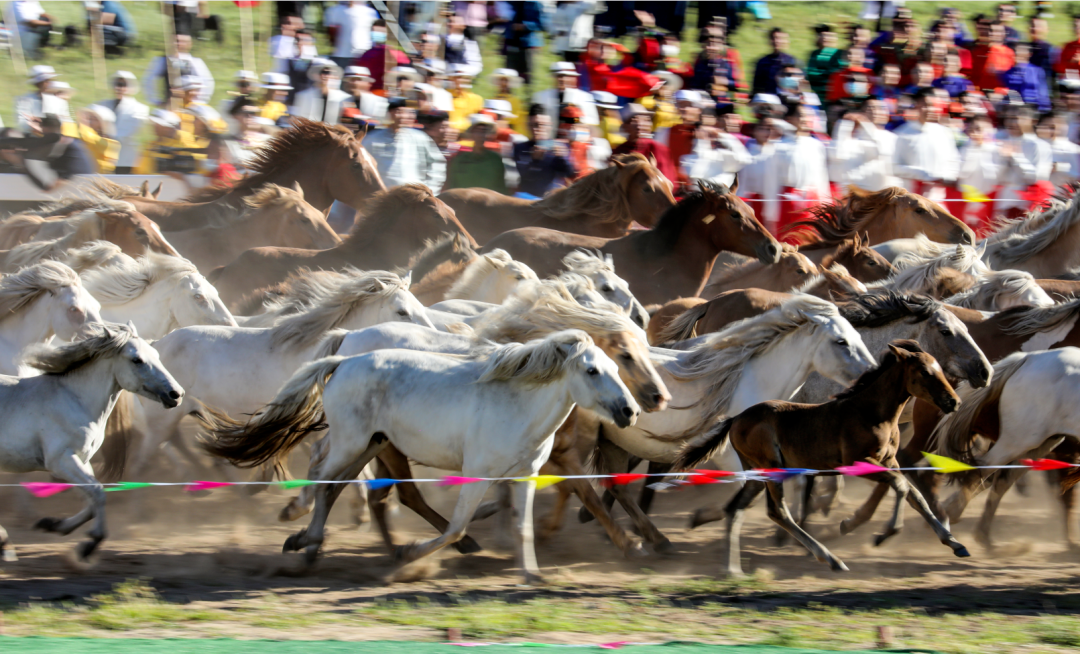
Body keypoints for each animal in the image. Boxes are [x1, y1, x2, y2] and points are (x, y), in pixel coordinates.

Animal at [0, 322, 183, 562]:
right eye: (137, 360)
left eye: (156, 355)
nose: (176, 394)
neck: (73, 399)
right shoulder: (61, 461)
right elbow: (97, 493)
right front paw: (90, 544)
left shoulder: (81, 459)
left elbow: (91, 500)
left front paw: (54, 525)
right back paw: (6, 546)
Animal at [127, 271, 432, 477]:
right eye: (402, 311)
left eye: (419, 304)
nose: (433, 336)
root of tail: (156, 345)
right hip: (161, 420)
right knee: (142, 460)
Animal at [200, 330, 638, 583]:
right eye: (592, 371)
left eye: (618, 368)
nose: (630, 411)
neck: (518, 406)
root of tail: (343, 362)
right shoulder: (477, 473)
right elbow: (457, 527)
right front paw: (409, 553)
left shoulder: (523, 476)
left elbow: (522, 527)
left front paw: (532, 576)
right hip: (350, 443)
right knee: (324, 485)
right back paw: (305, 539)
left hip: (372, 444)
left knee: (335, 488)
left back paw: (306, 543)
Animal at [675, 340, 968, 577]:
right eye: (925, 372)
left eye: (941, 370)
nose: (954, 402)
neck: (872, 413)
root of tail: (736, 419)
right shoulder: (858, 463)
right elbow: (901, 486)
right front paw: (885, 534)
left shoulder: (889, 461)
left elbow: (914, 495)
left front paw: (956, 544)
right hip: (772, 468)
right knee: (777, 511)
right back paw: (831, 559)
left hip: (757, 474)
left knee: (736, 508)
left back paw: (732, 569)